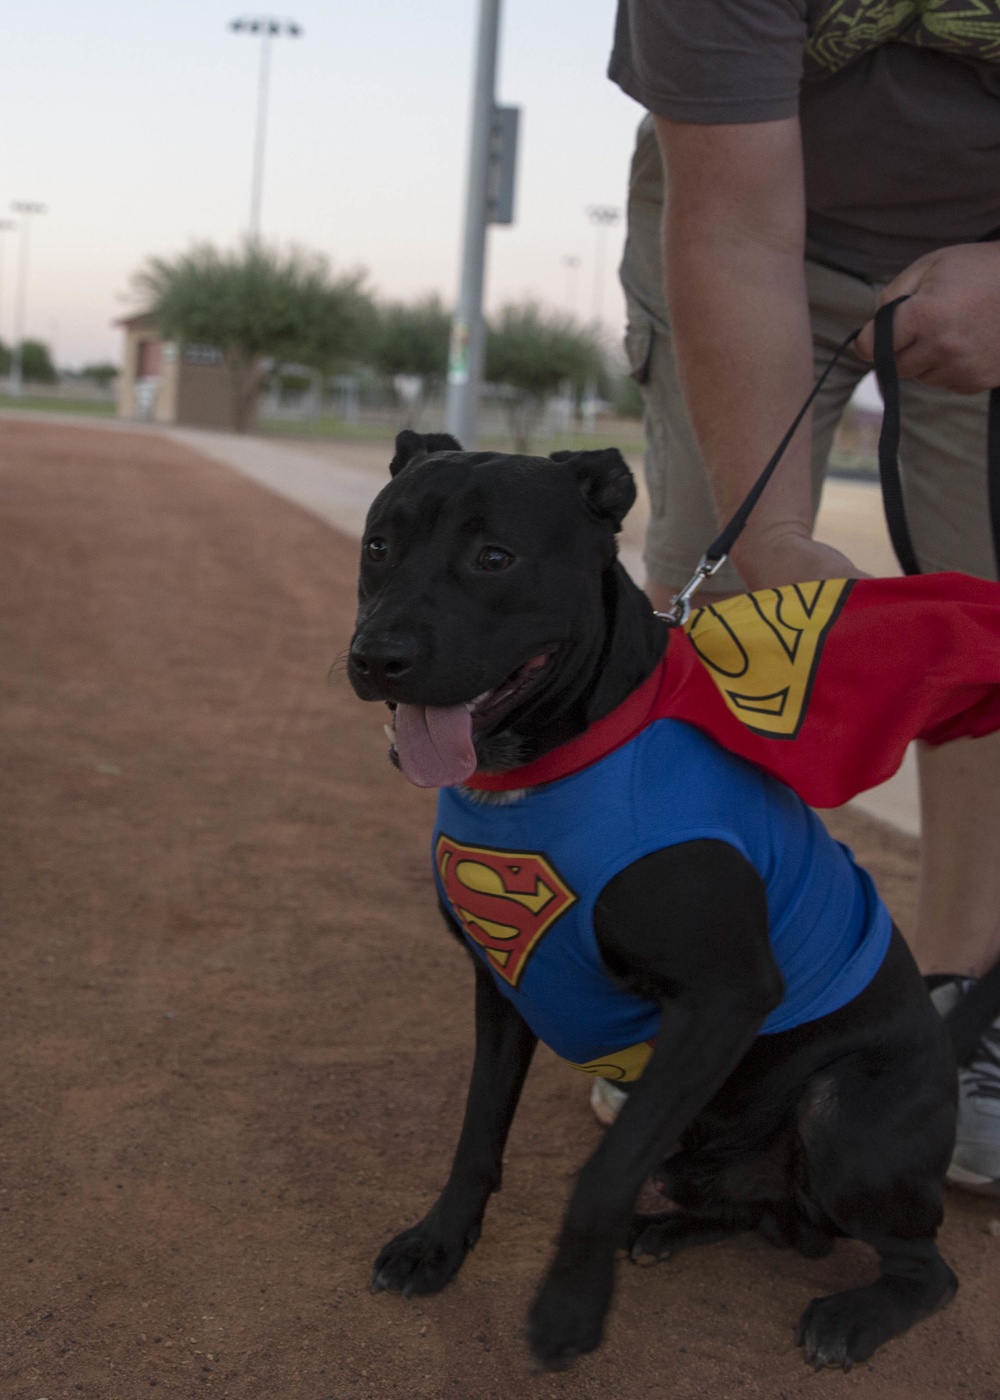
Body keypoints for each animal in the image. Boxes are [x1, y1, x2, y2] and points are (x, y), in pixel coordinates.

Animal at [347, 431, 952, 1372]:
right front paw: (438, 1245)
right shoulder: (504, 988)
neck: (547, 766)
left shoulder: (722, 1000)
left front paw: (569, 1307)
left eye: (495, 558)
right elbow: (477, 1135)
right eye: (379, 545)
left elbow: (600, 1174)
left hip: (841, 1116)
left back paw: (853, 1317)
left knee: (928, 1270)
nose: (377, 657)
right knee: (769, 1218)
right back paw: (668, 1229)